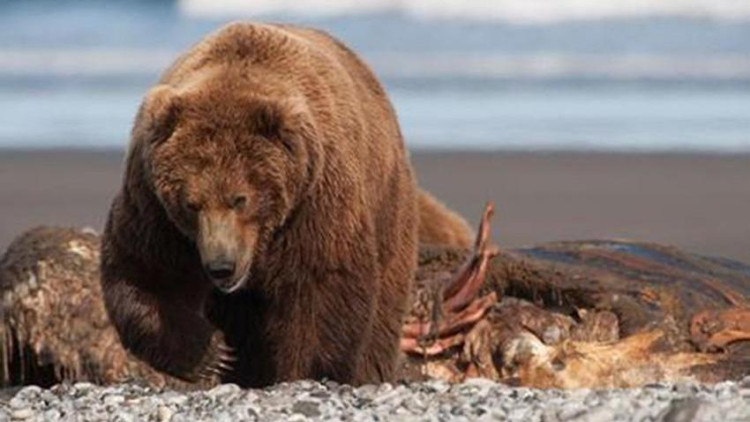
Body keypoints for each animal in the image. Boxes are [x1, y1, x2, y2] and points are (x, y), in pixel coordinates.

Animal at [102, 21, 470, 388]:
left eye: (240, 199)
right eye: (191, 203)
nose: (222, 266)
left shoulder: (316, 198)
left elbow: (321, 285)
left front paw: (305, 370)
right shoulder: (151, 200)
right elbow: (148, 271)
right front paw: (213, 355)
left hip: (390, 208)